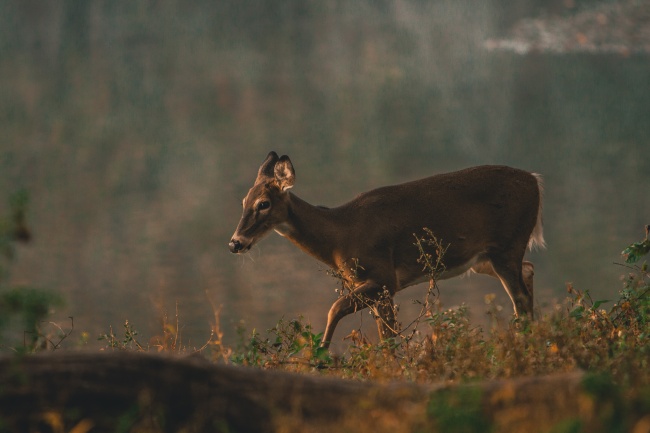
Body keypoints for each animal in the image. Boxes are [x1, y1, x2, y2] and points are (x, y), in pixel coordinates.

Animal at [229, 151, 545, 348]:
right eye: (244, 201)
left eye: (263, 204)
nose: (235, 243)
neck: (339, 235)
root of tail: (535, 181)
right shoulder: (376, 287)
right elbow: (386, 336)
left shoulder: (383, 279)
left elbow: (336, 309)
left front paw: (321, 356)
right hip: (483, 259)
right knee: (529, 271)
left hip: (507, 245)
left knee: (520, 298)